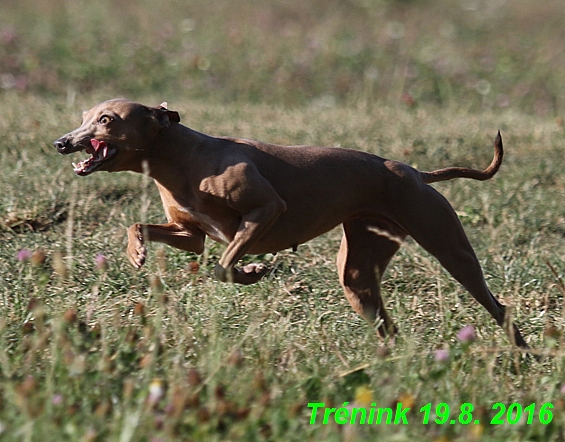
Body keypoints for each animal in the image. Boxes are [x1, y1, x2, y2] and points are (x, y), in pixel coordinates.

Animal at [54, 99, 528, 348]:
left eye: (106, 120)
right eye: (83, 116)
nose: (62, 142)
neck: (177, 153)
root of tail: (415, 172)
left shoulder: (266, 210)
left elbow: (224, 265)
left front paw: (252, 271)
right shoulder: (191, 234)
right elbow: (142, 227)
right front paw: (136, 252)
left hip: (449, 247)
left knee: (496, 304)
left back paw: (522, 353)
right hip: (358, 273)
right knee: (384, 321)